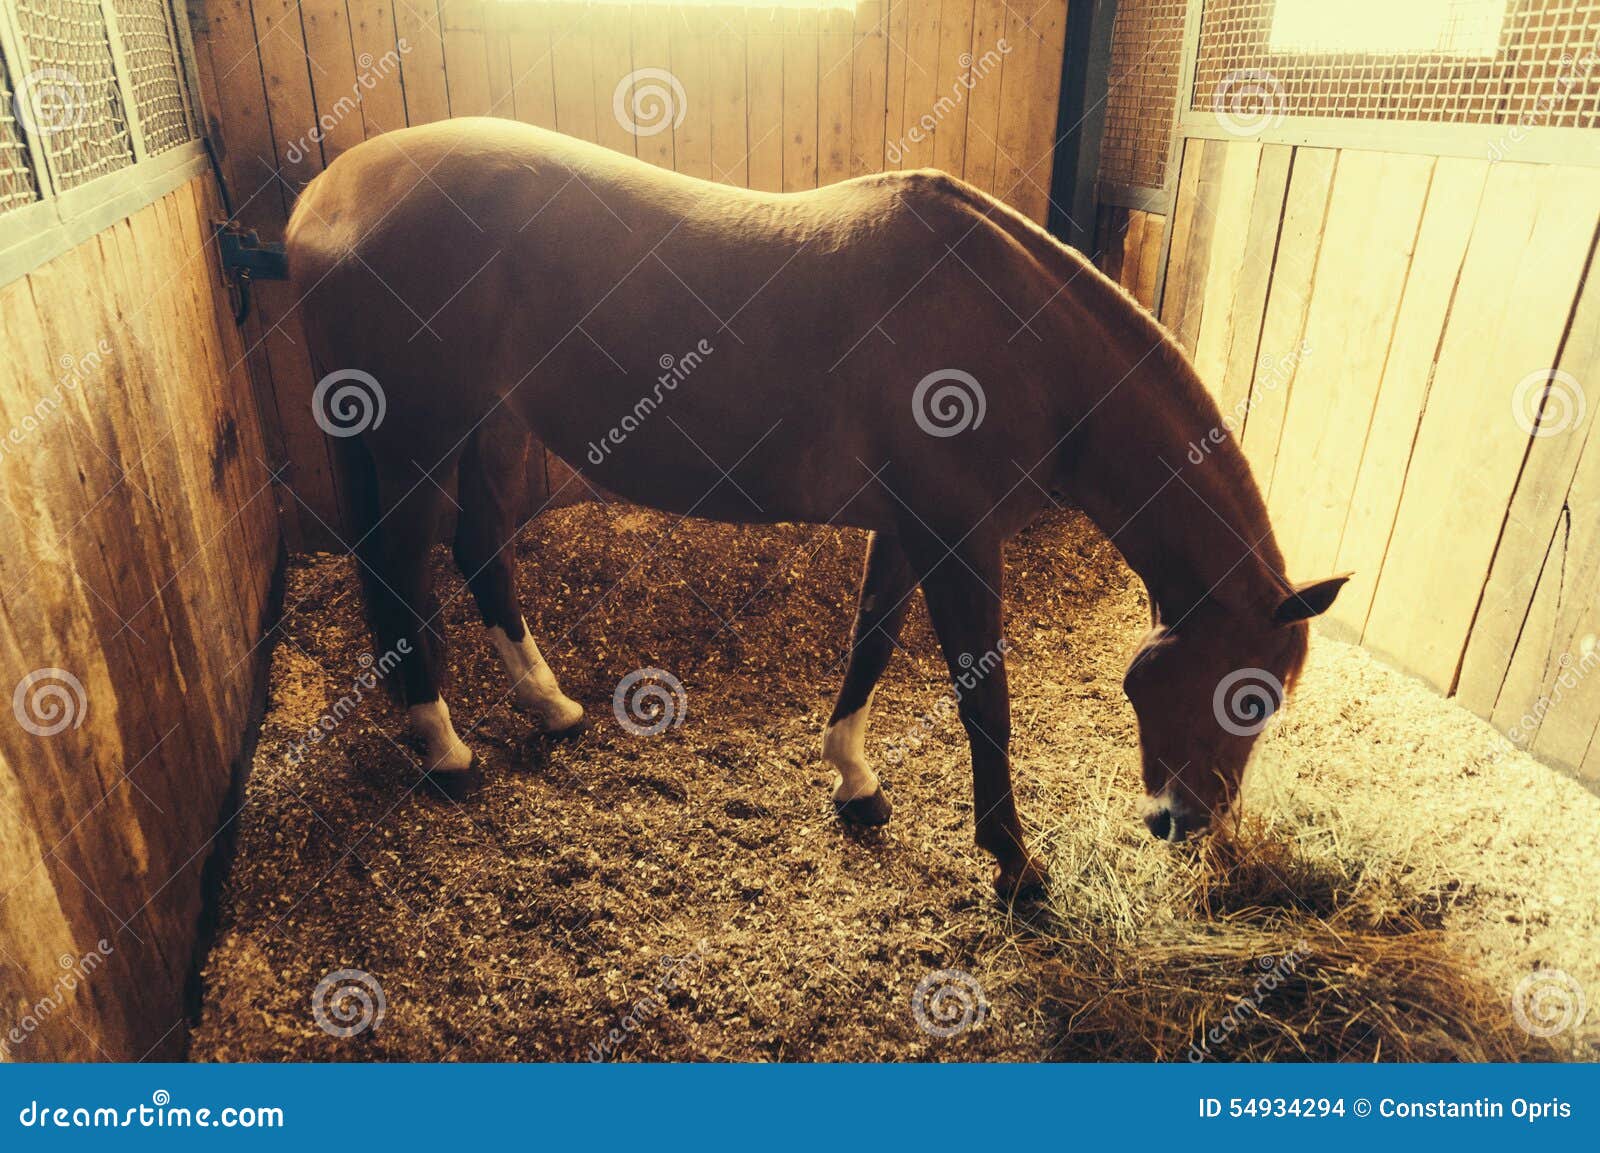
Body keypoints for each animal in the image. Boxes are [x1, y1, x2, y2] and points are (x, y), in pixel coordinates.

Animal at [285, 118, 1347, 898]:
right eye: (1249, 695)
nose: (1186, 822)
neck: (1017, 337)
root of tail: (320, 201)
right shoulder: (960, 538)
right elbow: (983, 698)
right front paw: (1014, 864)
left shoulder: (911, 528)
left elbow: (871, 644)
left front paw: (856, 783)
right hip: (420, 440)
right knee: (401, 567)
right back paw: (444, 750)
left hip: (490, 431)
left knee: (480, 552)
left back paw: (550, 707)